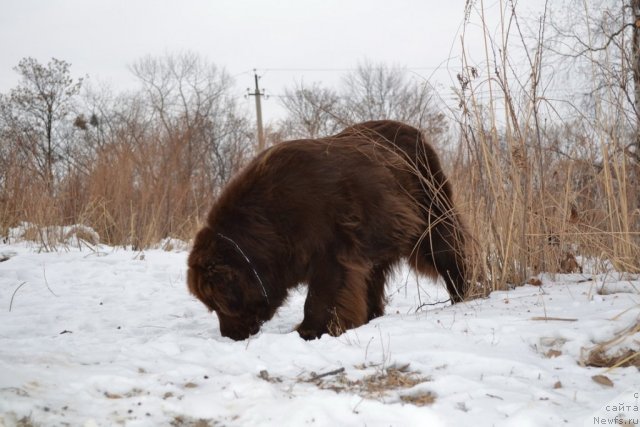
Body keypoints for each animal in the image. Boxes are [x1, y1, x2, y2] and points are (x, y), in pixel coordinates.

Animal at [185, 120, 464, 342]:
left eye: (217, 303)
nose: (229, 335)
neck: (269, 225)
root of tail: (415, 132)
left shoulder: (331, 246)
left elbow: (323, 294)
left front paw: (310, 330)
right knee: (374, 274)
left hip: (430, 208)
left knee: (447, 249)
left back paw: (464, 291)